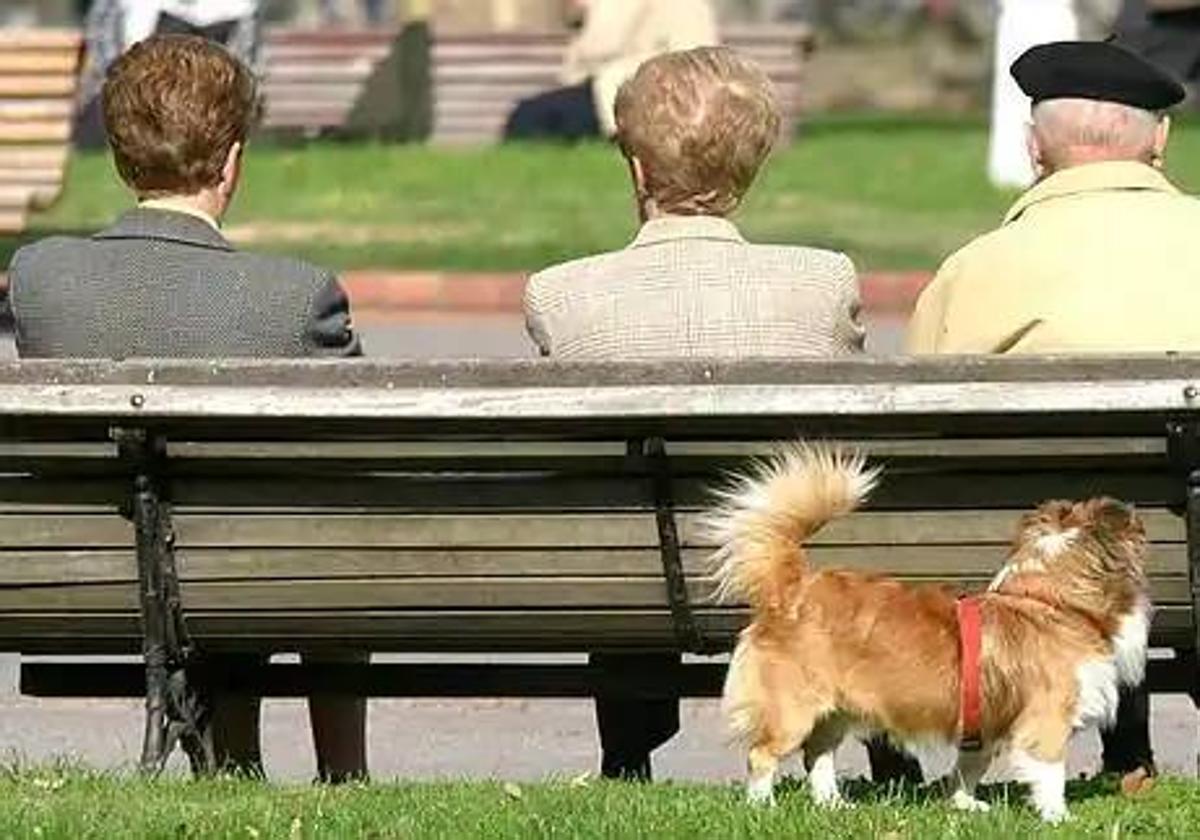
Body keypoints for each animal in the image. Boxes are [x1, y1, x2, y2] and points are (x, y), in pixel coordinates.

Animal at [705, 444, 1147, 825]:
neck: (1051, 603)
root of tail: (791, 589)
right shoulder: (1047, 718)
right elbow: (1051, 773)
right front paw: (1058, 818)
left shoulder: (982, 727)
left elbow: (968, 769)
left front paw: (965, 806)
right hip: (792, 711)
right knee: (762, 755)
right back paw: (764, 808)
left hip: (834, 712)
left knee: (818, 755)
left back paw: (834, 806)